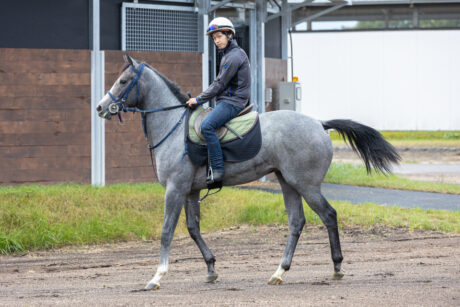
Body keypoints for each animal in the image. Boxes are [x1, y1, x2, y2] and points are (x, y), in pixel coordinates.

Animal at [96, 56, 398, 292]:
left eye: (123, 81)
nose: (100, 107)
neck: (174, 126)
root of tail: (318, 123)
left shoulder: (175, 189)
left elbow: (167, 231)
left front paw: (157, 276)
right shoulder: (190, 191)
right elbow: (193, 229)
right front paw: (211, 268)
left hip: (307, 185)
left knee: (329, 216)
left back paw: (336, 267)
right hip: (288, 183)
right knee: (296, 223)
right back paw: (279, 272)